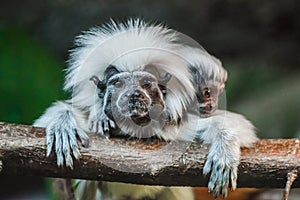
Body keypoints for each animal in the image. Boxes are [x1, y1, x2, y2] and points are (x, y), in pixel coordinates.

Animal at [34, 18, 256, 198]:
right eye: (118, 85)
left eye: (146, 85)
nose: (133, 96)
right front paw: (63, 126)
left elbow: (239, 127)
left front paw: (224, 154)